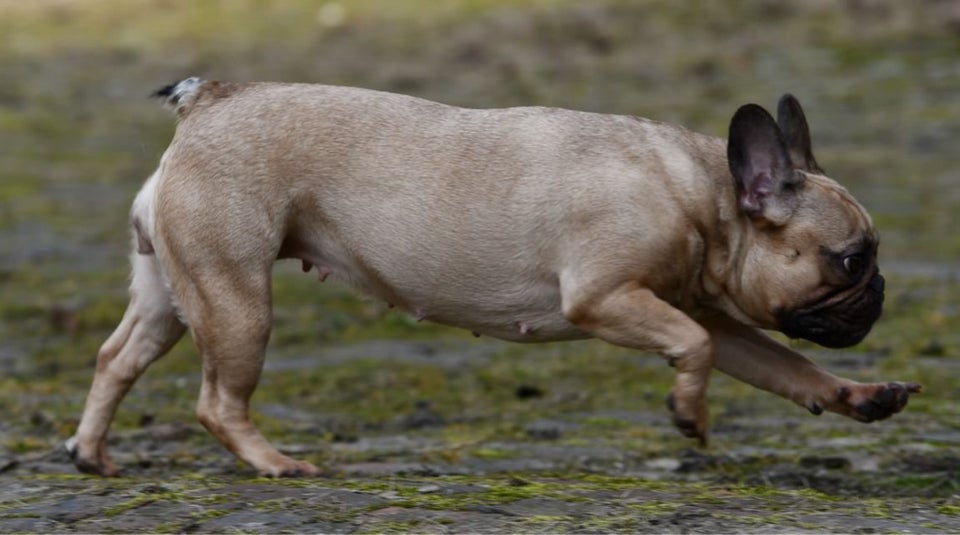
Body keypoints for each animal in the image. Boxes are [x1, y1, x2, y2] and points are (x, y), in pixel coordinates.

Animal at [63, 79, 920, 478]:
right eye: (851, 259)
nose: (880, 291)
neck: (703, 195)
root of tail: (207, 103)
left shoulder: (708, 314)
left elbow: (782, 365)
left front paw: (859, 395)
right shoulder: (610, 298)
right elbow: (696, 348)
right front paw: (687, 413)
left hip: (174, 292)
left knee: (116, 358)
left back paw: (91, 452)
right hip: (237, 299)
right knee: (217, 400)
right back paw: (274, 462)